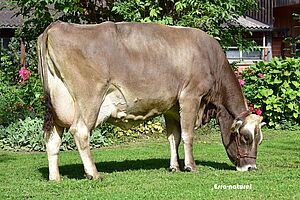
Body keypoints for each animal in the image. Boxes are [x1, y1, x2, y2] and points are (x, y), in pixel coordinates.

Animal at [37, 21, 264, 181]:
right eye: (246, 137)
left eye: (259, 139)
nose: (251, 167)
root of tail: (57, 25)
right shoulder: (190, 97)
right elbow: (188, 135)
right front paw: (190, 166)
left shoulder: (171, 107)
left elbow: (173, 137)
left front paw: (174, 167)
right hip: (90, 98)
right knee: (80, 131)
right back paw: (93, 173)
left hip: (58, 104)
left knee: (52, 138)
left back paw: (55, 177)